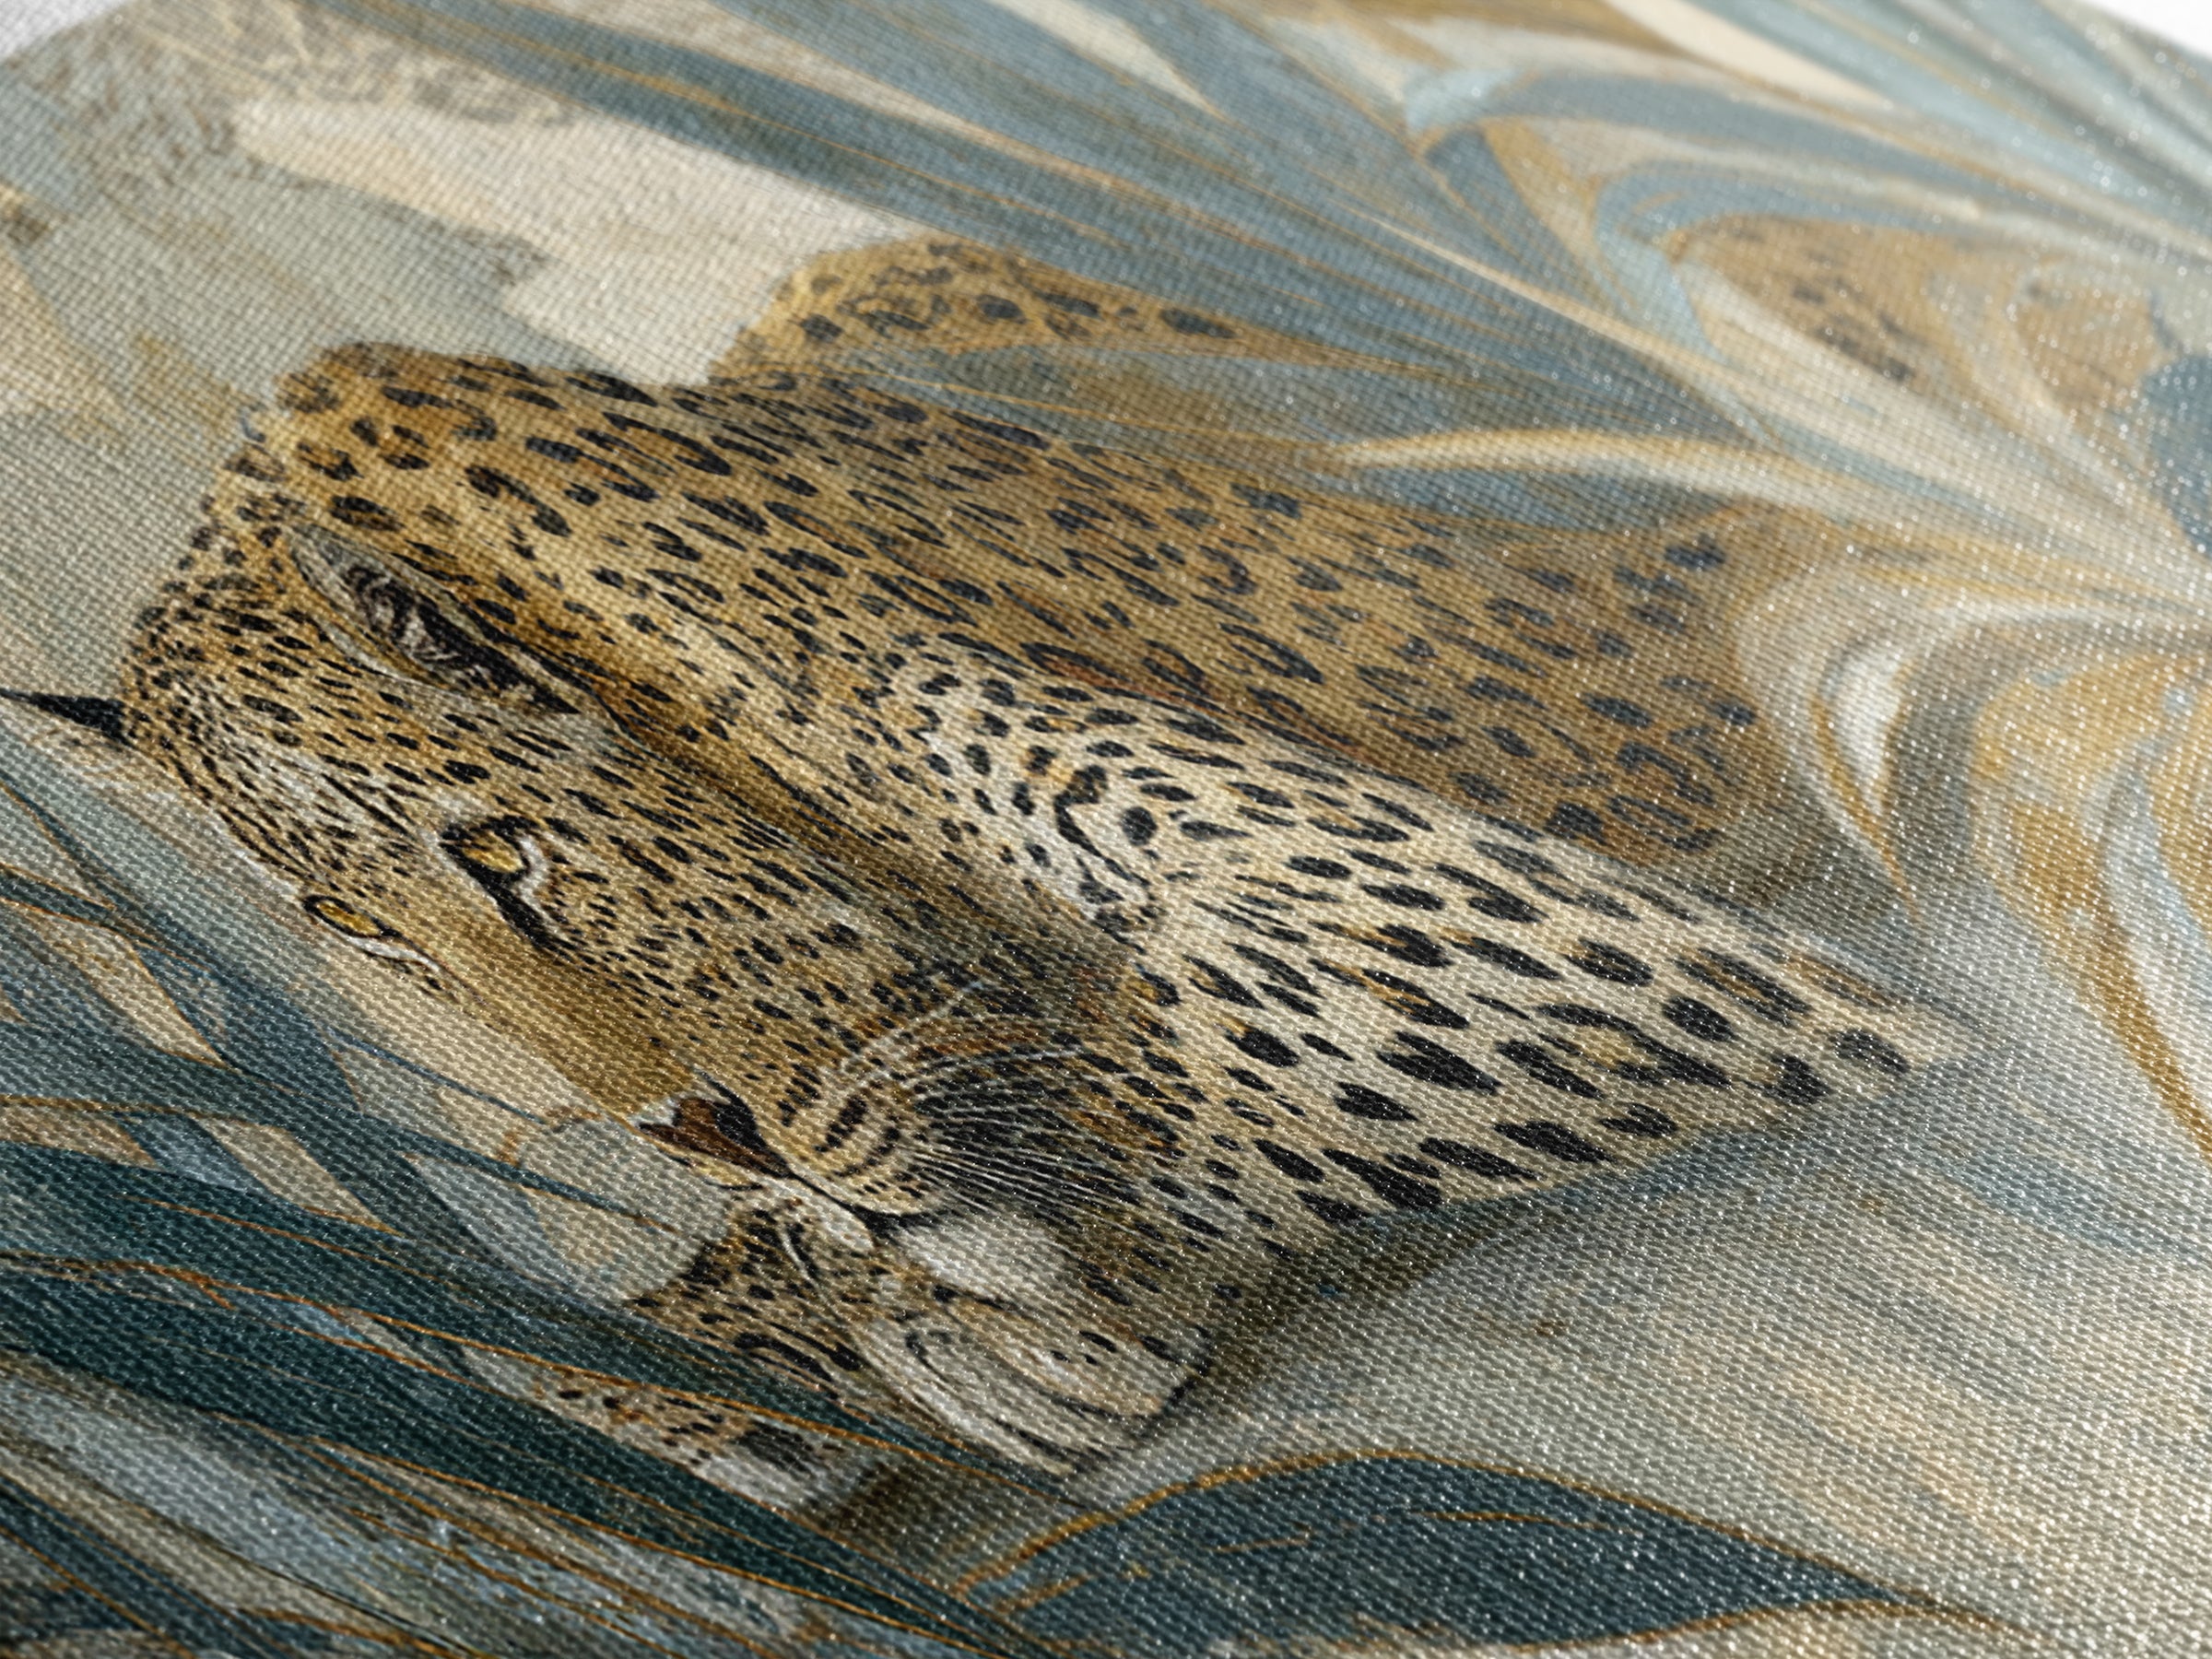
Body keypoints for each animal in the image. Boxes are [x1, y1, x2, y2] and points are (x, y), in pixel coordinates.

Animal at [38, 243, 1958, 1480]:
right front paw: (704, 1358)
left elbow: (1231, 1068)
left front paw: (1012, 1296)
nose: (689, 1133)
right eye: (365, 943)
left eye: (501, 855)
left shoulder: (1442, 894)